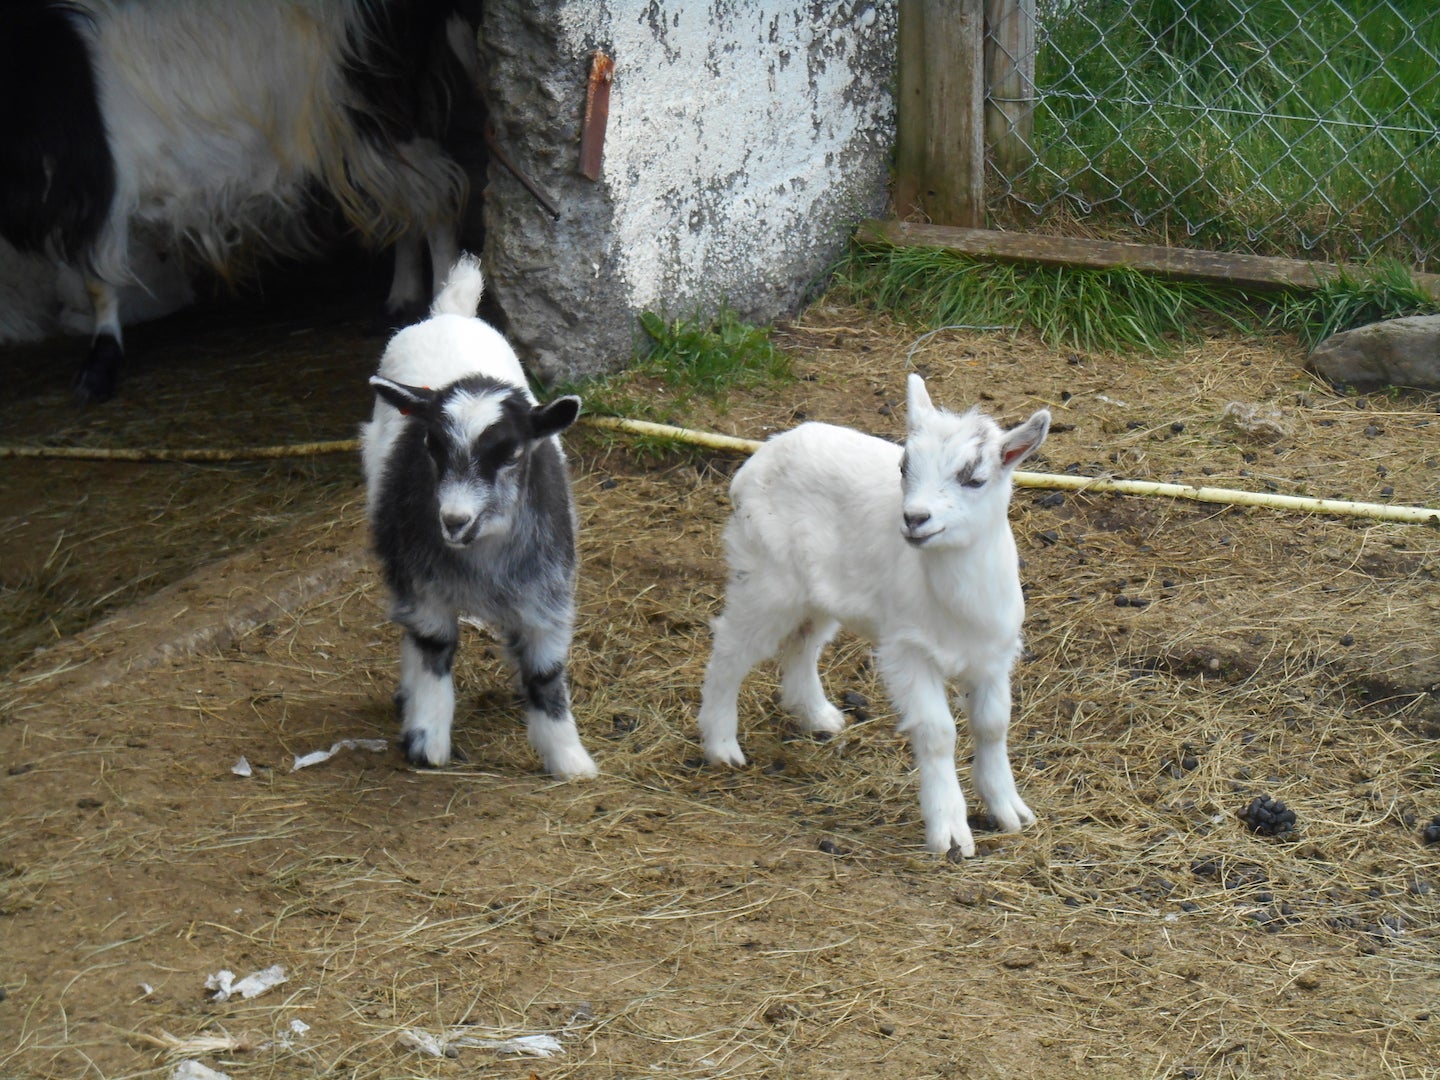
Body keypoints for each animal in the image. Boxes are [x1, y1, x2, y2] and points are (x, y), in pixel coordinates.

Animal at [365, 257, 601, 783]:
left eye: (511, 453)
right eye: (430, 445)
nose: (453, 520)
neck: (483, 559)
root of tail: (450, 313)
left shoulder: (548, 597)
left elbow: (546, 673)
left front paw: (570, 759)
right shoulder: (425, 584)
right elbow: (433, 648)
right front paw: (428, 740)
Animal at [696, 377, 1048, 858]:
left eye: (974, 479)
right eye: (904, 468)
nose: (915, 518)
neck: (953, 604)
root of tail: (762, 455)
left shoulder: (994, 655)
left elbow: (993, 727)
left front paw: (1010, 811)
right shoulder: (908, 649)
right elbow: (938, 733)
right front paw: (950, 834)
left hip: (820, 591)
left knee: (802, 642)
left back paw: (817, 715)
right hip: (767, 577)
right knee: (731, 648)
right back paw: (721, 745)